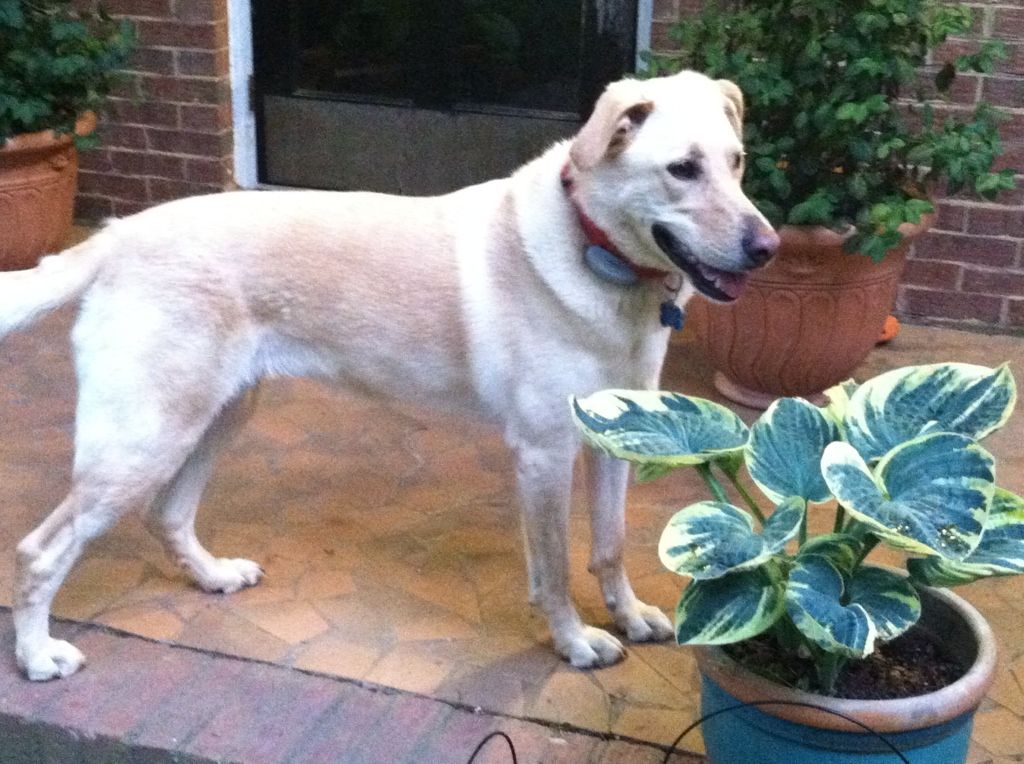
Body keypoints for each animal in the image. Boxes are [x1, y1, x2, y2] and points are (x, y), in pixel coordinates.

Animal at [0, 71, 774, 680]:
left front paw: (631, 617)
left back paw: (213, 576)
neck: (599, 254)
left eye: (736, 163)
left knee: (166, 514)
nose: (767, 247)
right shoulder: (544, 453)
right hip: (147, 436)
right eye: (682, 169)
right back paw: (38, 656)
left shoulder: (617, 436)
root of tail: (117, 235)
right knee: (39, 552)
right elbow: (553, 569)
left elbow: (609, 547)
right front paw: (576, 643)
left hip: (216, 415)